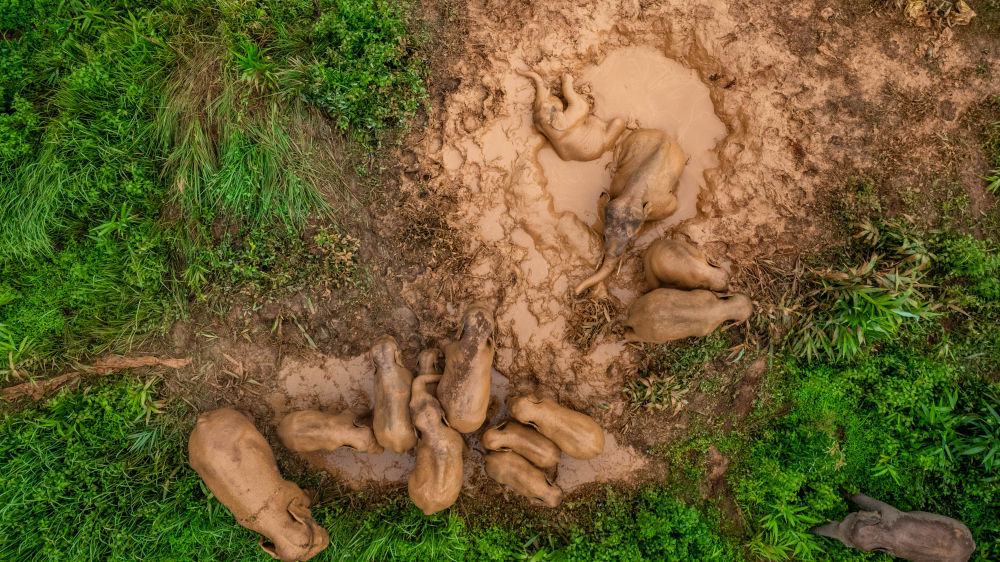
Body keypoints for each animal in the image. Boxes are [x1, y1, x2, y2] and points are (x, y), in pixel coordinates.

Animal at [193, 406, 334, 560]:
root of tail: (202, 420)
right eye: (313, 542)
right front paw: (317, 494)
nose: (325, 543)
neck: (274, 520)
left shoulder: (292, 489)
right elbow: (309, 497)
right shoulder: (294, 489)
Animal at [406, 348, 464, 516]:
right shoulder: (456, 436)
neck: (433, 428)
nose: (440, 354)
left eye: (432, 399)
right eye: (410, 407)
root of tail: (428, 510)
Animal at [572, 127, 688, 294]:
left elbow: (672, 206)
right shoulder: (617, 184)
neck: (634, 194)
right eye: (604, 236)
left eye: (629, 240)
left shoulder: (664, 203)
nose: (575, 293)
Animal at [620, 288, 752, 342]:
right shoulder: (707, 329)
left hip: (643, 301)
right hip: (649, 336)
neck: (722, 308)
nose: (752, 307)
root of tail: (634, 319)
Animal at [812, 492, 976, 556]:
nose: (809, 529)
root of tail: (973, 547)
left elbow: (865, 499)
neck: (882, 535)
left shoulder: (888, 512)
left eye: (849, 546)